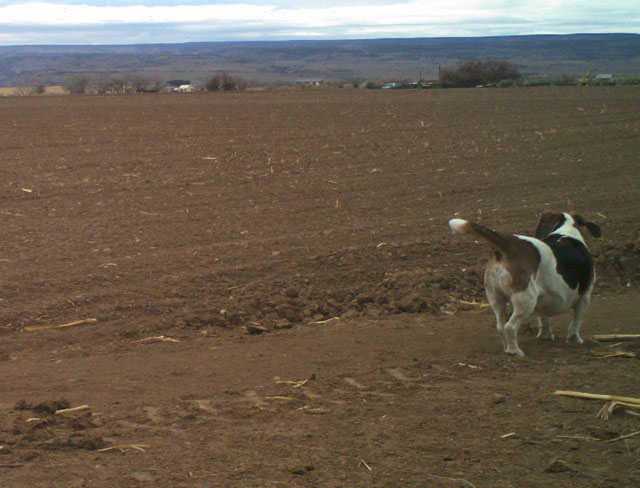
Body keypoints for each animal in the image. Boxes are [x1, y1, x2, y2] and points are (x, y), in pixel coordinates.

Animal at [448, 212, 601, 356]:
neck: (566, 231)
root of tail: (507, 243)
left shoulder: (545, 299)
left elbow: (544, 319)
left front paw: (546, 336)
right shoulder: (585, 297)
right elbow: (575, 323)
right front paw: (574, 340)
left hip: (496, 298)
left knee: (500, 326)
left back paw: (507, 349)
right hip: (526, 300)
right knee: (510, 326)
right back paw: (514, 351)